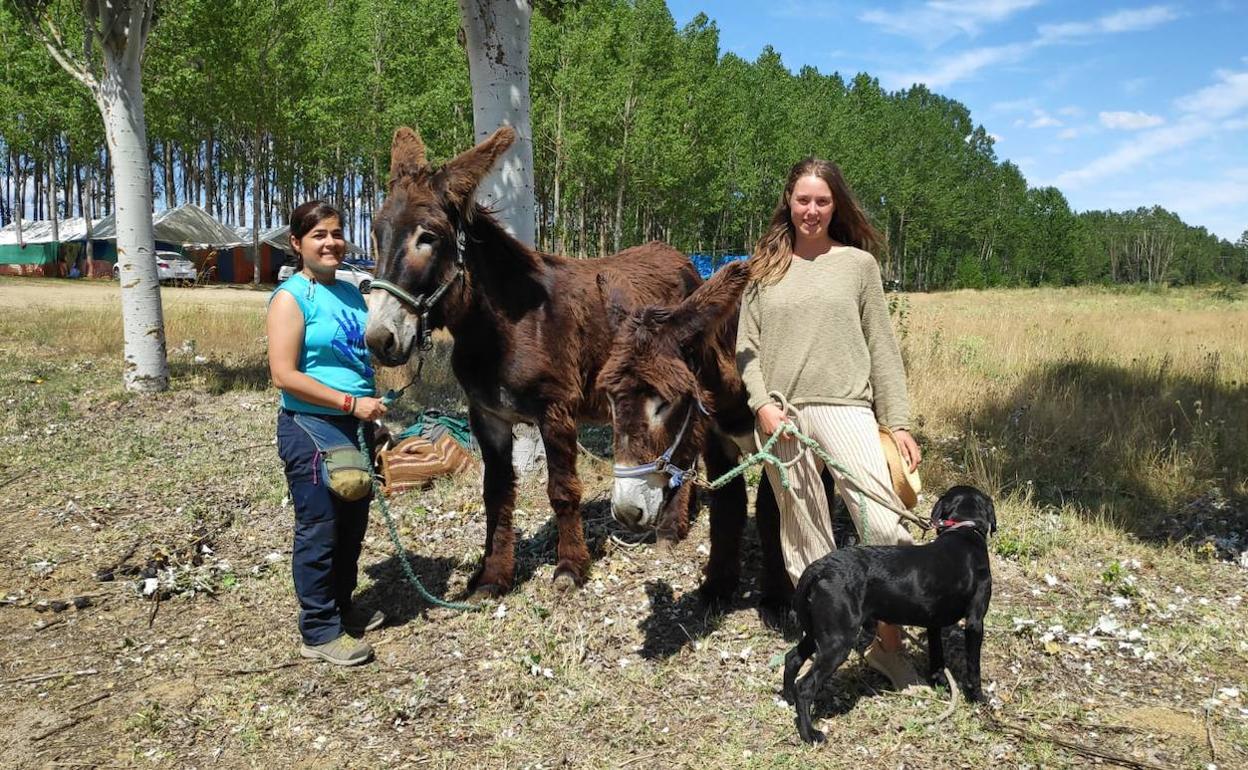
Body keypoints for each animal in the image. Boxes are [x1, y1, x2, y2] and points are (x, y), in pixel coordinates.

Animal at [778, 484, 993, 743]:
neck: (963, 530)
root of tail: (822, 567)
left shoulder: (933, 623)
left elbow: (937, 658)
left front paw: (940, 683)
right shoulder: (975, 622)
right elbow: (974, 668)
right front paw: (979, 698)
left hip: (821, 632)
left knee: (792, 658)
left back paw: (789, 699)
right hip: (838, 642)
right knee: (806, 686)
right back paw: (809, 733)